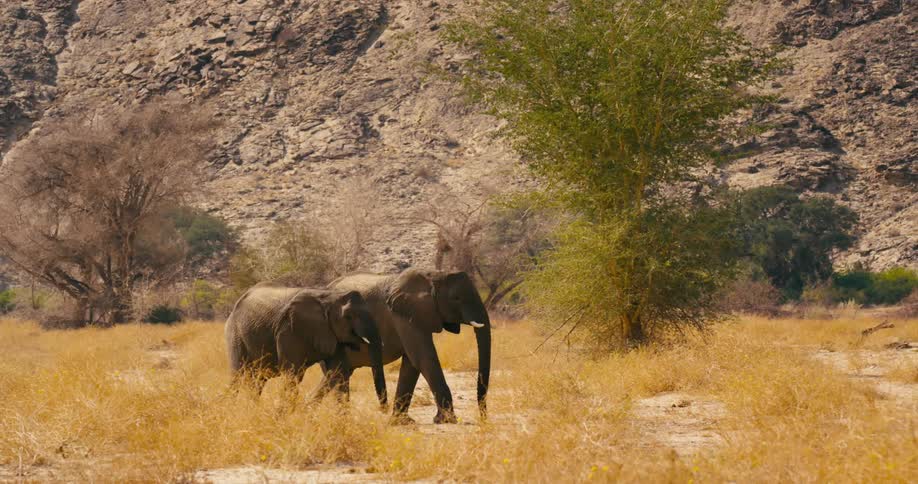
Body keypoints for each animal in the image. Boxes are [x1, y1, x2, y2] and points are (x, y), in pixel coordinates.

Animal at [224, 283, 386, 404]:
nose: (383, 410)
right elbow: (292, 374)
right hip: (235, 334)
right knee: (238, 375)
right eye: (348, 316)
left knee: (258, 380)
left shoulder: (330, 332)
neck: (330, 296)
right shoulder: (289, 329)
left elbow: (339, 371)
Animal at [319, 269, 491, 424]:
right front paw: (446, 420)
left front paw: (402, 422)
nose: (483, 418)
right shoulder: (405, 315)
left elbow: (411, 364)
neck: (434, 274)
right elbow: (422, 358)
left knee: (335, 376)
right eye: (456, 298)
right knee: (338, 376)